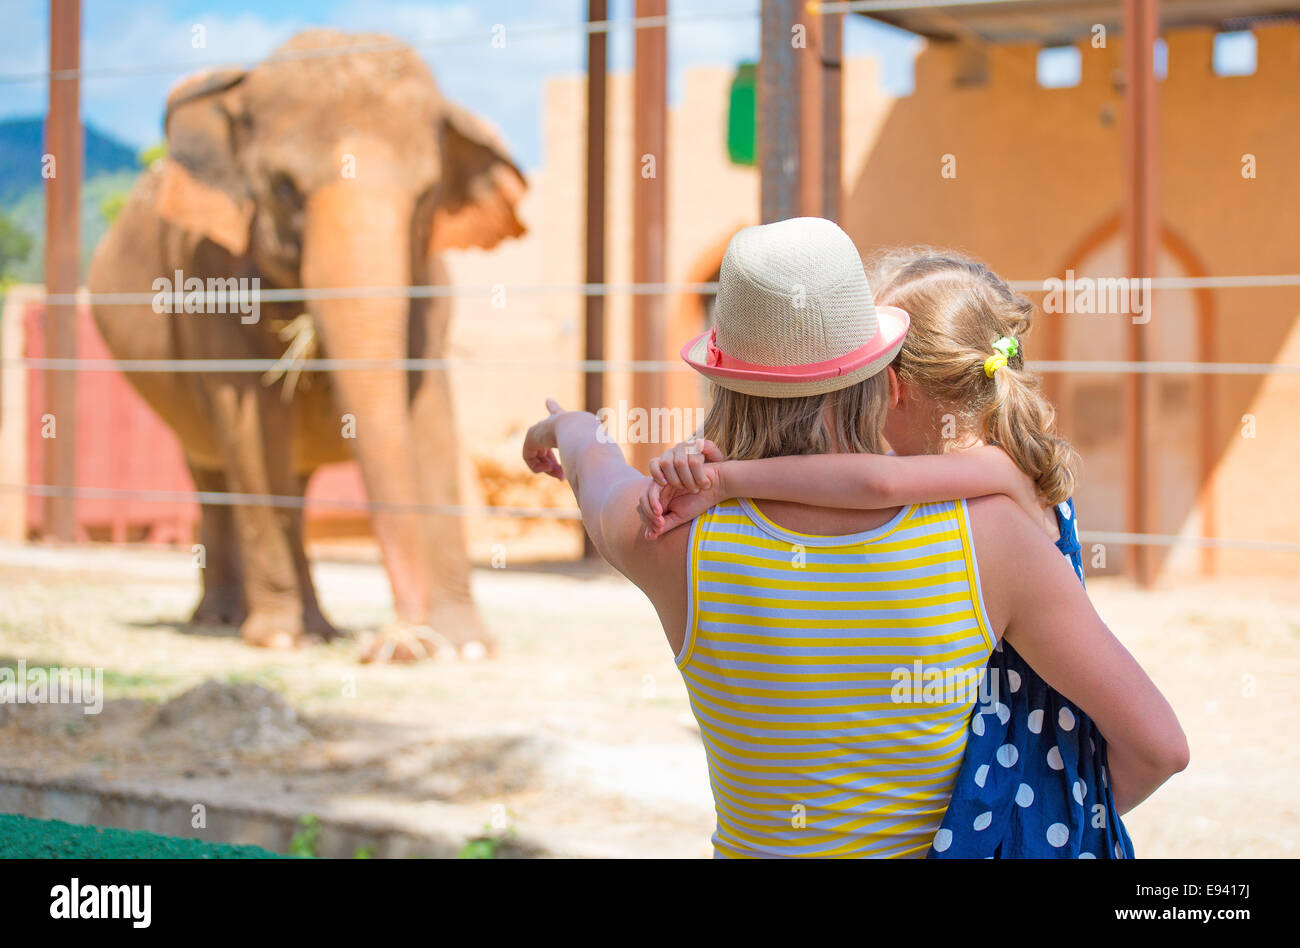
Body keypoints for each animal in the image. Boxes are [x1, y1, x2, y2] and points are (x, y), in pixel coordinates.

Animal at [87, 33, 527, 663]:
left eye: (425, 198)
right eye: (284, 190)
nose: (400, 642)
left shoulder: (427, 286)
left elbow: (430, 423)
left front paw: (466, 648)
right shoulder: (210, 273)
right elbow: (250, 424)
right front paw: (279, 640)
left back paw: (315, 628)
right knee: (215, 470)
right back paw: (232, 622)